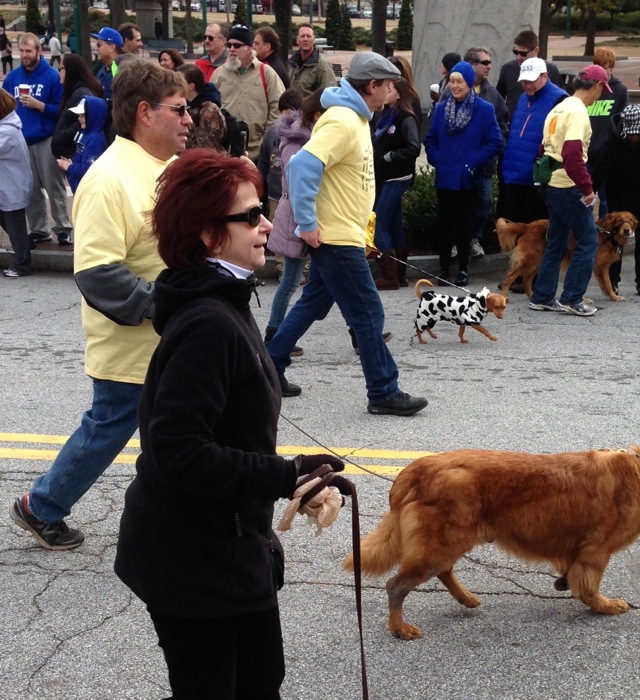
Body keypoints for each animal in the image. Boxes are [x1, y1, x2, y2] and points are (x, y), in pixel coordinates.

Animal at [344, 448, 640, 640]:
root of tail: (414, 471)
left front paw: (565, 582)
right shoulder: (596, 552)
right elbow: (590, 586)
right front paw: (604, 606)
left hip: (447, 541)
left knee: (443, 571)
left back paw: (466, 598)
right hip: (442, 543)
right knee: (397, 585)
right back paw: (399, 628)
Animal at [498, 212, 636, 302]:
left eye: (630, 221)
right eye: (620, 220)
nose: (627, 230)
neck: (608, 235)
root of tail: (527, 226)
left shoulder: (603, 267)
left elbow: (607, 284)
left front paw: (614, 297)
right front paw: (582, 299)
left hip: (538, 262)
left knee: (527, 280)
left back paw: (533, 296)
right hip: (530, 260)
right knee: (510, 276)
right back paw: (504, 296)